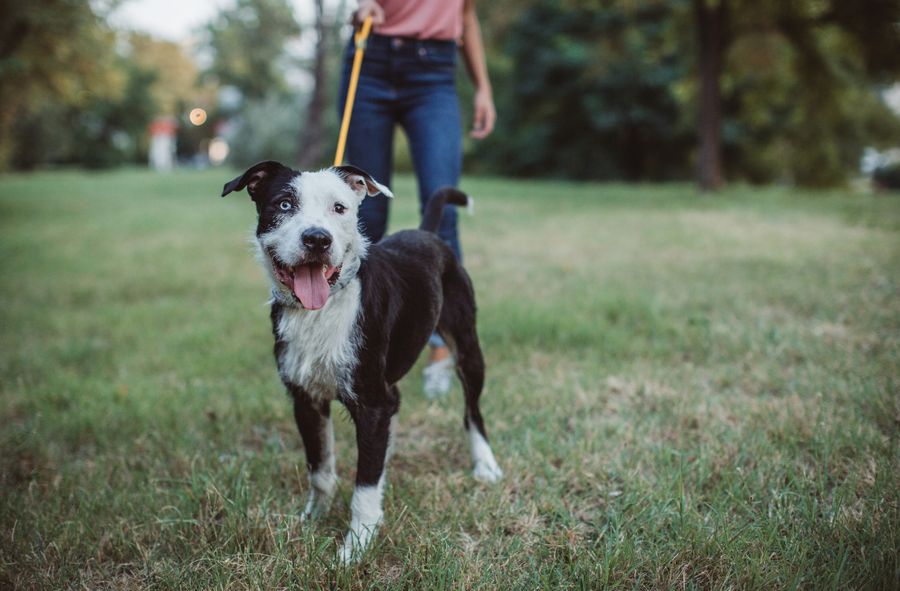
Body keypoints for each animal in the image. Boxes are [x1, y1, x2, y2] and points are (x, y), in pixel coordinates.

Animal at [218, 161, 500, 564]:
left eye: (340, 208)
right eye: (284, 204)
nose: (317, 239)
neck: (324, 309)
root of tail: (426, 234)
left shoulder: (371, 402)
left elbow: (364, 487)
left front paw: (356, 547)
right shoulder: (306, 398)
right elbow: (320, 470)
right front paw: (312, 519)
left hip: (467, 345)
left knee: (471, 410)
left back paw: (485, 464)